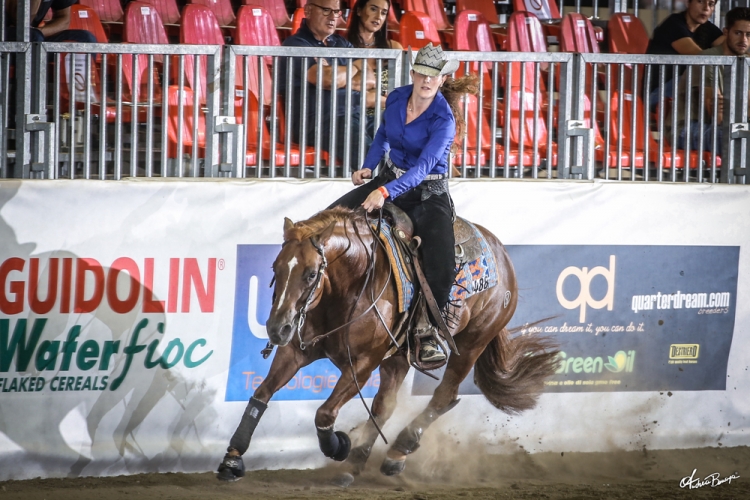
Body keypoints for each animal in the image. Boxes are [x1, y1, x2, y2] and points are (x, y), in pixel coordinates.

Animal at [217, 206, 560, 480]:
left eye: (312, 274)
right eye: (275, 268)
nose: (277, 328)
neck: (350, 285)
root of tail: (502, 254)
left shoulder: (362, 364)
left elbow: (324, 414)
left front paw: (339, 446)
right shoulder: (295, 352)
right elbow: (261, 395)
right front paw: (232, 460)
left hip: (472, 343)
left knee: (443, 396)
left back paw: (395, 452)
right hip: (397, 358)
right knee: (385, 405)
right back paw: (356, 463)